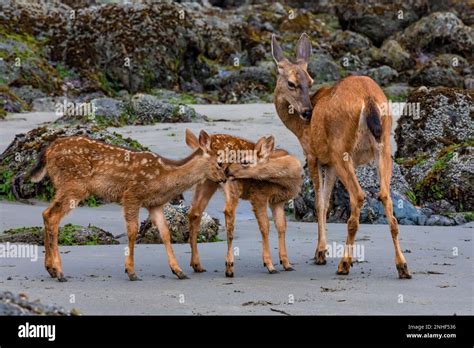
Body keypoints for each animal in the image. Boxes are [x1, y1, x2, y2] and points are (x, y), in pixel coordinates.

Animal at [28, 130, 227, 280]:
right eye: (220, 163)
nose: (225, 179)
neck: (165, 176)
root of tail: (48, 150)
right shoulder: (132, 194)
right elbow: (132, 231)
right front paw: (131, 272)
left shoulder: (155, 204)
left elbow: (165, 233)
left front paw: (178, 271)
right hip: (73, 184)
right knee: (52, 216)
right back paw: (60, 272)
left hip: (64, 185)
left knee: (46, 213)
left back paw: (51, 269)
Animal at [186, 130, 304, 278]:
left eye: (245, 161)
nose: (227, 170)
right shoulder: (259, 195)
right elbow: (265, 227)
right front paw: (269, 265)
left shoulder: (277, 201)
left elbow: (281, 226)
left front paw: (286, 263)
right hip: (231, 184)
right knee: (228, 212)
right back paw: (229, 267)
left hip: (207, 182)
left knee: (194, 213)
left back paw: (197, 265)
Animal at [270, 32, 412, 278]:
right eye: (292, 83)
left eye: (310, 81)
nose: (307, 112)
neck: (299, 128)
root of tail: (368, 98)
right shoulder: (329, 163)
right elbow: (326, 202)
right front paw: (321, 250)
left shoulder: (314, 155)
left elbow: (320, 203)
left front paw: (320, 253)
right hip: (383, 147)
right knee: (386, 196)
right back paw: (402, 266)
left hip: (342, 149)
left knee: (359, 195)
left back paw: (345, 263)